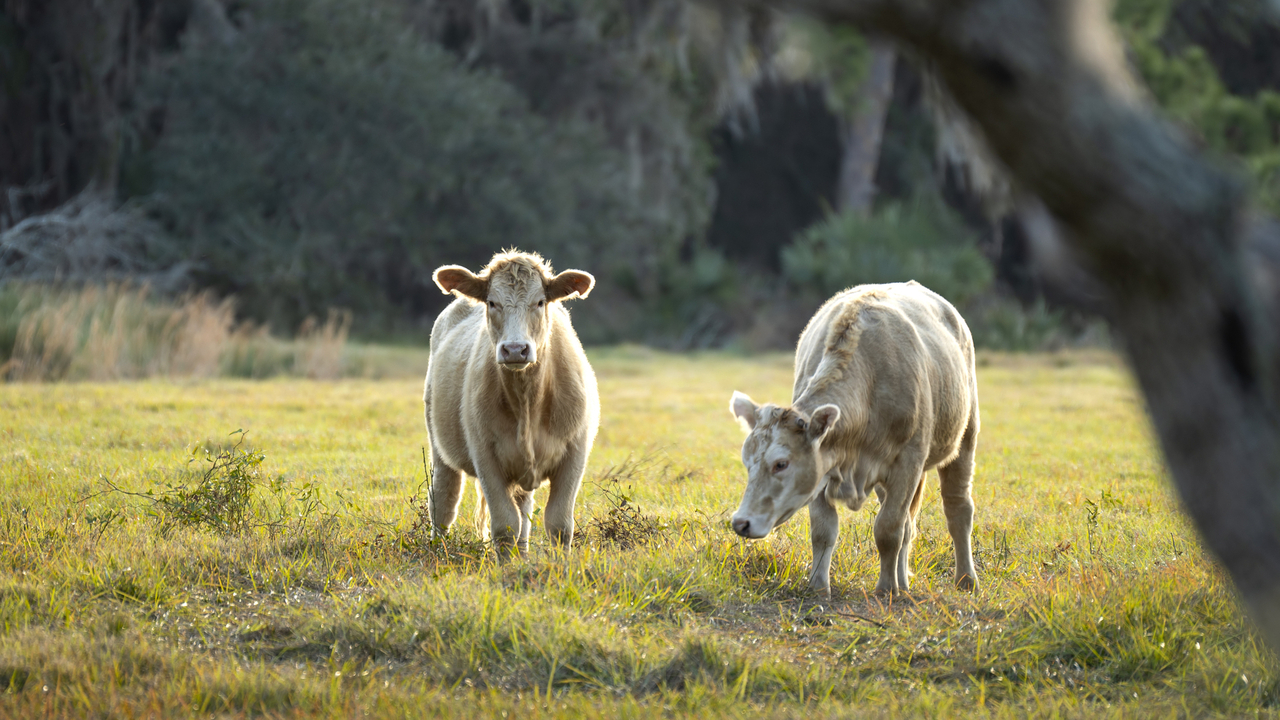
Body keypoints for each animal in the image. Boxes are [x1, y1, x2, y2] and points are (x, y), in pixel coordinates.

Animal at [422, 249, 596, 550]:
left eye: (540, 302)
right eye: (492, 302)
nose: (515, 349)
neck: (527, 401)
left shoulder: (575, 452)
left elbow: (559, 525)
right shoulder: (486, 456)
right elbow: (505, 526)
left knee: (523, 512)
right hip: (439, 446)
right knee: (444, 500)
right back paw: (437, 548)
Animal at [732, 280, 977, 594]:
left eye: (781, 464)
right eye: (747, 463)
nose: (741, 522)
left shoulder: (907, 462)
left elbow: (888, 529)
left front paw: (886, 589)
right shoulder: (824, 465)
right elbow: (824, 530)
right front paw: (818, 587)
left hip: (966, 434)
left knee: (957, 509)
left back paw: (966, 579)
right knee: (909, 524)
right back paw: (904, 581)